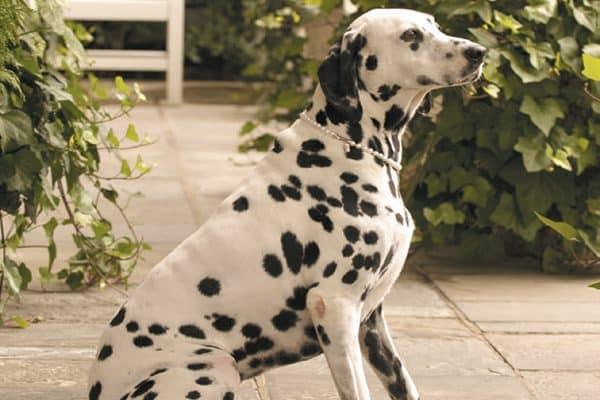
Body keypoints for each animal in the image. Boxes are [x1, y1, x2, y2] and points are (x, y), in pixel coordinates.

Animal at [89, 7, 486, 400]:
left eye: (435, 25)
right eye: (410, 35)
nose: (479, 52)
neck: (350, 146)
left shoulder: (371, 321)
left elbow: (404, 384)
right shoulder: (334, 306)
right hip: (216, 367)